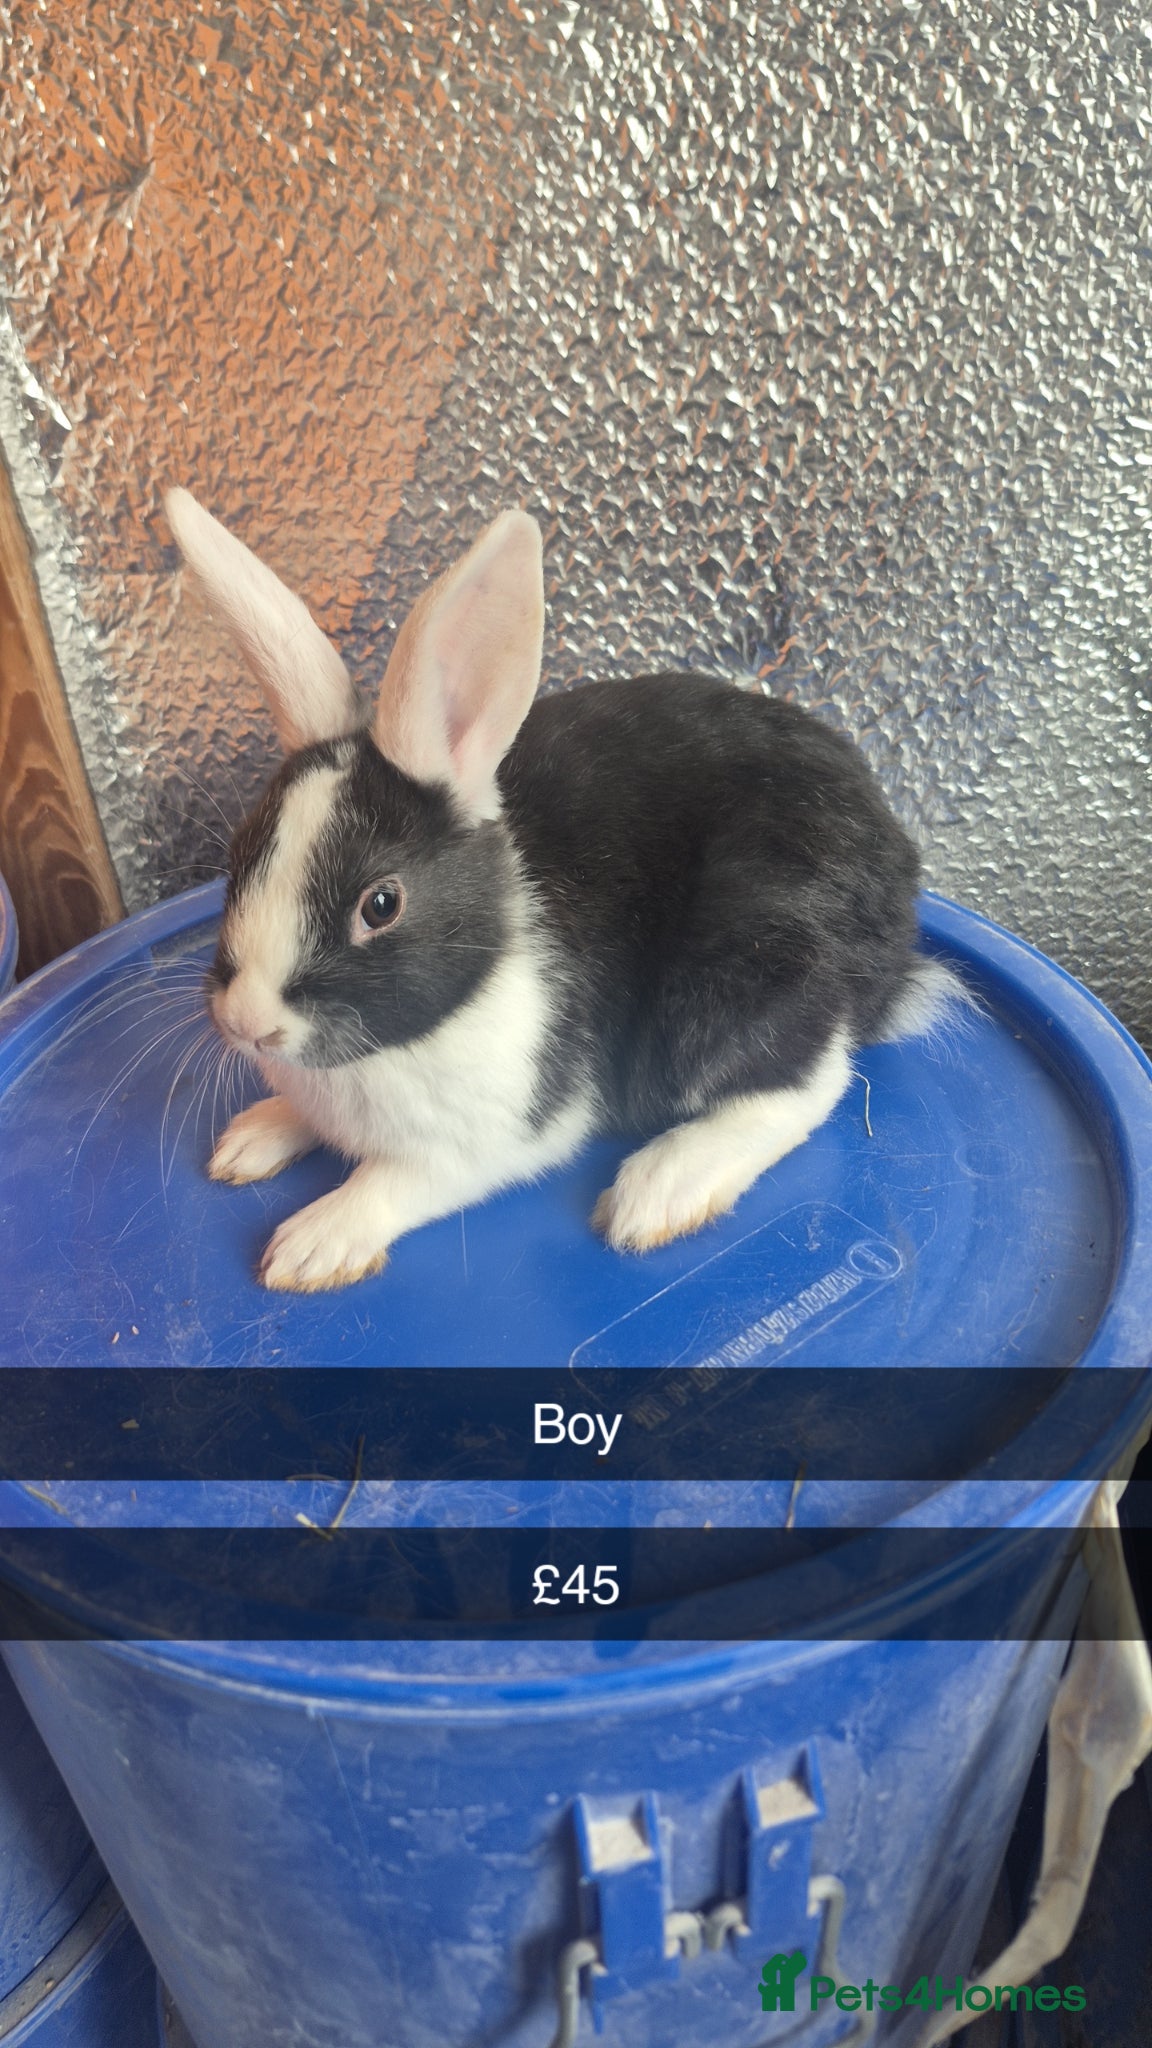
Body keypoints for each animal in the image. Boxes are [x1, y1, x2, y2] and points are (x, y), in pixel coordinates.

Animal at [166, 489, 956, 1293]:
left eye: (380, 905)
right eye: (238, 858)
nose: (248, 1023)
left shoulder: (499, 1137)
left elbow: (391, 1181)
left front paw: (312, 1246)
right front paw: (251, 1138)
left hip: (745, 971)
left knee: (811, 1081)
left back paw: (659, 1190)